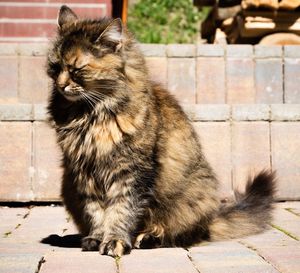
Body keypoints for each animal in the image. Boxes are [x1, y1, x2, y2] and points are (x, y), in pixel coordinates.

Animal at [47, 5, 276, 258]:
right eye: (55, 67)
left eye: (76, 70)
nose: (60, 85)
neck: (91, 116)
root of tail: (211, 219)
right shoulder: (83, 173)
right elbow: (96, 212)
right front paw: (97, 239)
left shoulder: (130, 172)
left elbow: (120, 211)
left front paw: (115, 241)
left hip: (192, 196)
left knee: (178, 234)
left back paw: (147, 238)